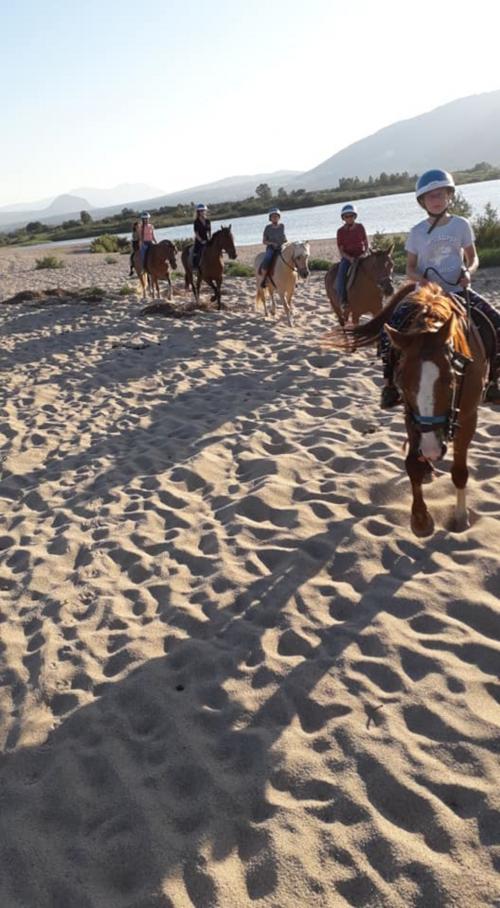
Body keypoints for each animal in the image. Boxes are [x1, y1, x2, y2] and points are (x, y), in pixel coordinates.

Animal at [330, 284, 486, 536]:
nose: (431, 449)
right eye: (402, 382)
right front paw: (421, 519)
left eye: (451, 379)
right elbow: (412, 464)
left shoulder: (469, 416)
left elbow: (460, 471)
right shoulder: (411, 415)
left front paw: (461, 518)